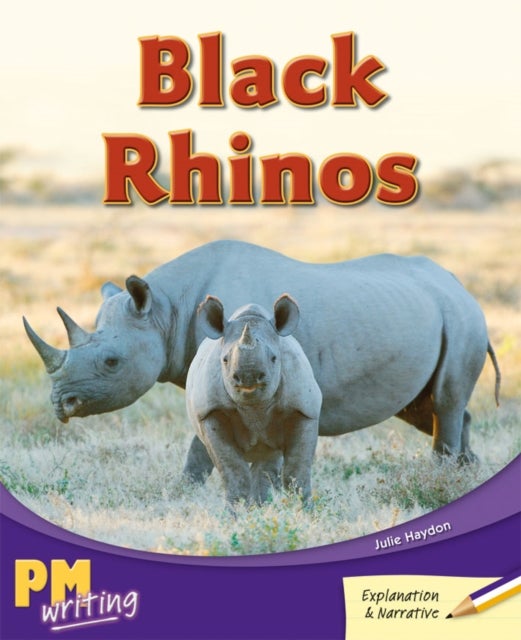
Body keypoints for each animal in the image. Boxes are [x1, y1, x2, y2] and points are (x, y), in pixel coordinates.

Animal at [23, 240, 500, 481]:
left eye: (111, 363)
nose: (60, 405)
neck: (165, 309)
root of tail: (459, 285)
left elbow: (203, 445)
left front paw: (189, 491)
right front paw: (184, 493)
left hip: (463, 319)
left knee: (444, 401)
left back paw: (442, 479)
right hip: (434, 314)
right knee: (425, 407)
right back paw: (467, 472)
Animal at [186, 294, 322, 506]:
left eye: (274, 358)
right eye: (225, 360)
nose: (248, 378)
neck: (255, 408)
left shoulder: (304, 409)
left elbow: (297, 470)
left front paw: (306, 509)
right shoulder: (209, 411)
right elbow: (233, 470)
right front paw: (233, 512)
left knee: (269, 459)